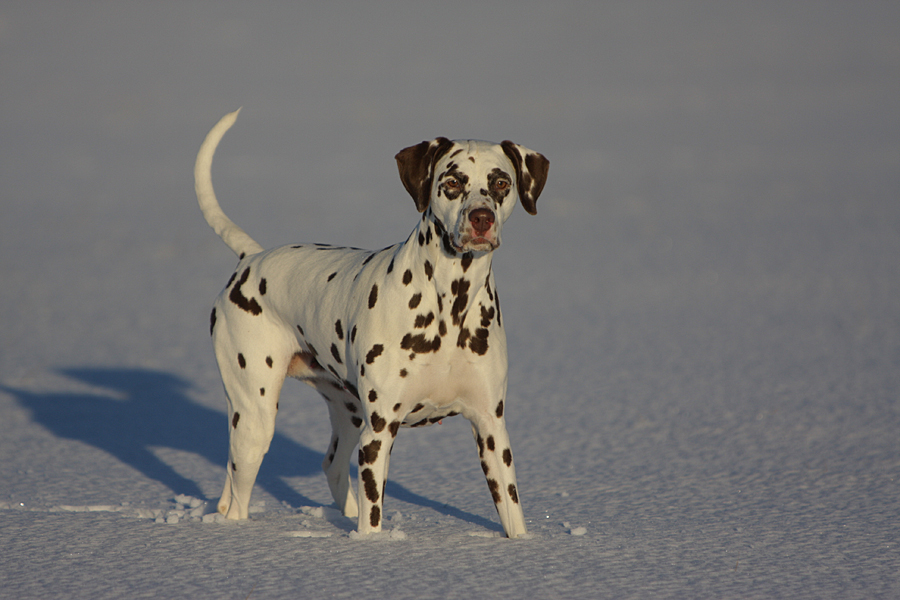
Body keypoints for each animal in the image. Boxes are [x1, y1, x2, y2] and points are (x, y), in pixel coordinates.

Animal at [195, 109, 548, 540]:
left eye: (501, 182)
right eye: (451, 183)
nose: (481, 218)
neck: (450, 305)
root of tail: (251, 259)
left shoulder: (492, 431)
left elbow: (512, 513)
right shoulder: (379, 435)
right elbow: (373, 516)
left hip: (347, 415)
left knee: (330, 468)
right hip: (254, 419)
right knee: (238, 493)